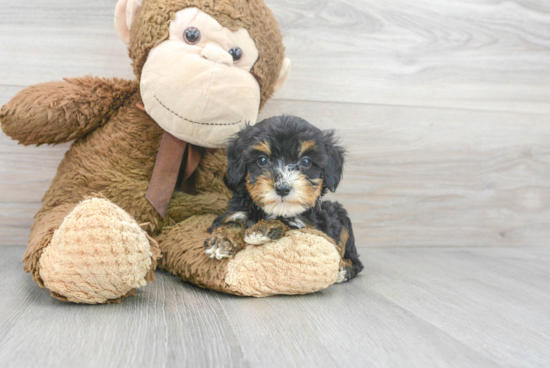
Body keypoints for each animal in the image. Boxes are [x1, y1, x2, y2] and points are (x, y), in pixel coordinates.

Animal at [205, 115, 364, 282]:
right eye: (262, 160)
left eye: (306, 161)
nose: (282, 188)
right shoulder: (232, 213)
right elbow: (230, 223)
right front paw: (222, 240)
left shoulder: (311, 230)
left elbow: (289, 224)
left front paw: (262, 230)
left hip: (341, 218)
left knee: (354, 258)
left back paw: (344, 269)